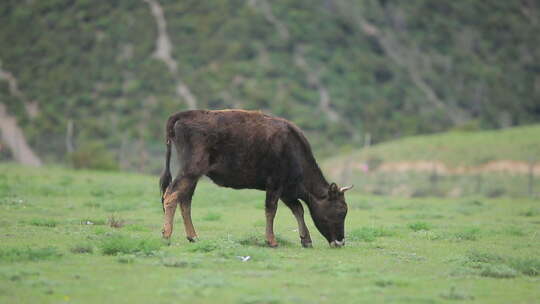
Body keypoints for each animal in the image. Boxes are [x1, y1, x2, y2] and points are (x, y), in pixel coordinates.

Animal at [159, 110, 354, 248]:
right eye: (340, 210)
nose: (340, 242)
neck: (293, 148)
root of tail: (183, 115)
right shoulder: (275, 185)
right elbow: (271, 210)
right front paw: (272, 241)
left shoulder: (287, 191)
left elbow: (298, 209)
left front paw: (306, 240)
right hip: (190, 172)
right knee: (171, 196)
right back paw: (166, 236)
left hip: (192, 176)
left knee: (184, 201)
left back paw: (193, 237)